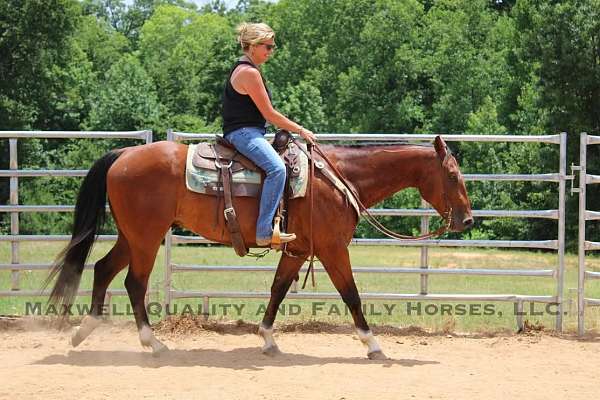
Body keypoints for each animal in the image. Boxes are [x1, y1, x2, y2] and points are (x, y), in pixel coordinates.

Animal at [47, 134, 474, 360]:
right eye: (453, 176)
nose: (467, 220)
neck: (339, 178)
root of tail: (124, 154)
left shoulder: (298, 251)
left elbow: (278, 290)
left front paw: (268, 338)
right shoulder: (333, 249)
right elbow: (351, 294)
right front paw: (373, 344)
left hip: (133, 236)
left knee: (103, 269)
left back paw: (84, 331)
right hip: (146, 238)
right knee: (134, 283)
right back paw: (153, 343)